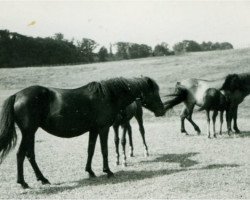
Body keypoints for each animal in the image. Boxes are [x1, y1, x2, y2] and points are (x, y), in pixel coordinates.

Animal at [0, 76, 165, 188]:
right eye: (154, 92)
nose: (162, 111)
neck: (109, 96)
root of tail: (17, 95)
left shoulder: (93, 130)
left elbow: (90, 150)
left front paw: (90, 171)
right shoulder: (103, 128)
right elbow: (104, 150)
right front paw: (108, 171)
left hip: (31, 133)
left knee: (30, 155)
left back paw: (43, 179)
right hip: (28, 132)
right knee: (21, 155)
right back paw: (23, 183)